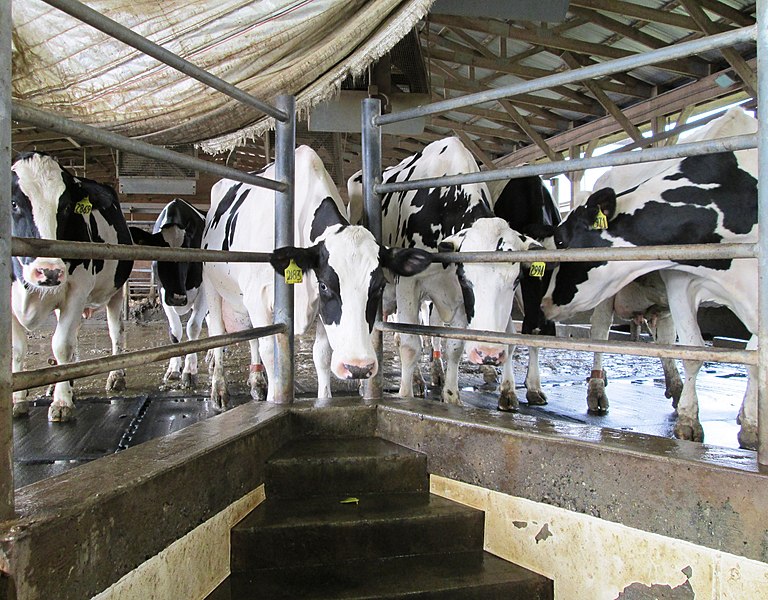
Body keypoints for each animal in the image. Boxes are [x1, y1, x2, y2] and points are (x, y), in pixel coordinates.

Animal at [11, 150, 134, 422]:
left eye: (66, 206)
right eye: (13, 203)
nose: (50, 271)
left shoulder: (77, 289)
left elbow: (61, 344)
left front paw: (62, 403)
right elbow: (17, 349)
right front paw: (18, 401)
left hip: (115, 291)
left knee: (115, 331)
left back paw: (116, 376)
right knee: (75, 334)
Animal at [130, 200, 207, 390]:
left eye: (189, 252)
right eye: (160, 253)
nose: (178, 298)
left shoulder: (204, 289)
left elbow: (193, 327)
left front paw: (189, 372)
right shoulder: (163, 292)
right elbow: (175, 331)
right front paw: (173, 369)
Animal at [201, 145, 432, 408]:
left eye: (379, 286)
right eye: (324, 286)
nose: (358, 367)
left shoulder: (320, 311)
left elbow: (321, 355)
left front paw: (324, 399)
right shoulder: (257, 296)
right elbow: (270, 350)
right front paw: (272, 400)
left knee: (251, 338)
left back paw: (257, 381)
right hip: (211, 284)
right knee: (218, 332)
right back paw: (219, 389)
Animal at [352, 138, 544, 410]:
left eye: (516, 279)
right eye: (467, 279)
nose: (488, 354)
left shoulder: (458, 297)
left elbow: (454, 344)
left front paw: (451, 396)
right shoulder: (409, 283)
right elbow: (410, 345)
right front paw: (405, 396)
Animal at [544, 106, 760, 450]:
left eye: (562, 240)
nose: (545, 303)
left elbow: (753, 354)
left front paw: (750, 423)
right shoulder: (681, 278)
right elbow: (694, 351)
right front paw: (689, 423)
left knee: (664, 338)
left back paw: (676, 388)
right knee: (600, 332)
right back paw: (597, 393)